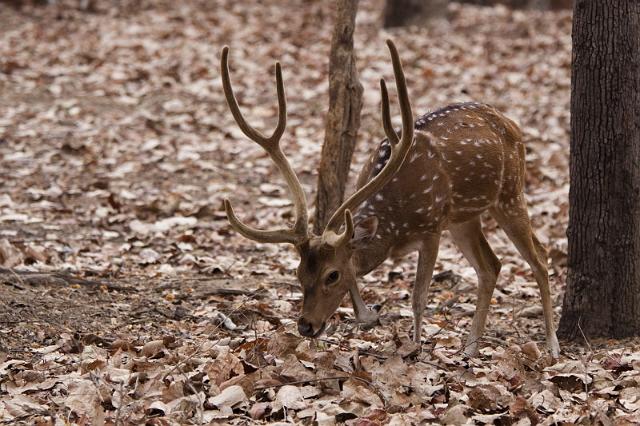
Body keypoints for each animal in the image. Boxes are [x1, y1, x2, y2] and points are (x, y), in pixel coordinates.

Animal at [220, 40, 560, 360]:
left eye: (332, 275)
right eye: (299, 273)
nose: (306, 326)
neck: (396, 222)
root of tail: (510, 121)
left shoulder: (432, 226)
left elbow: (419, 296)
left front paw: (416, 346)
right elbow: (359, 275)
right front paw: (370, 316)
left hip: (510, 193)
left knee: (540, 257)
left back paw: (552, 345)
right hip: (463, 217)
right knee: (491, 265)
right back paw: (470, 348)